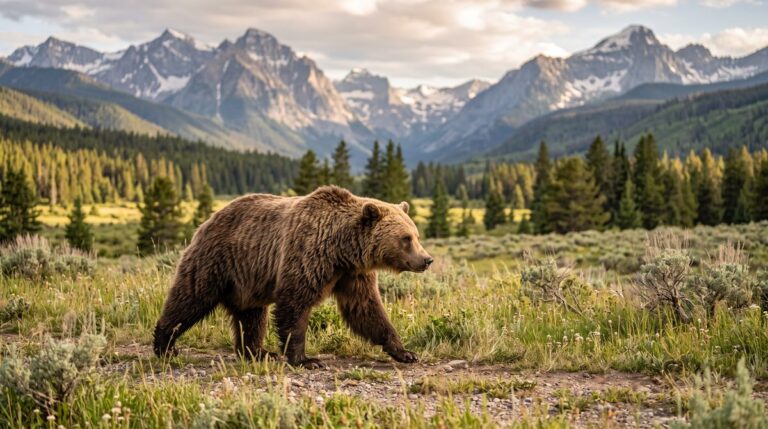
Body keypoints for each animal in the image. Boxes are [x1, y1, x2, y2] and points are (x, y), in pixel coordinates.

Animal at [153, 185, 433, 368]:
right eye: (406, 238)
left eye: (416, 235)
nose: (427, 259)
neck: (341, 251)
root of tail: (209, 219)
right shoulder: (307, 254)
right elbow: (294, 304)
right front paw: (306, 359)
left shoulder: (353, 274)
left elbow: (366, 309)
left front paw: (405, 352)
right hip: (216, 261)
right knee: (190, 299)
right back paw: (165, 346)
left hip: (247, 280)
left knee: (251, 316)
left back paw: (259, 352)